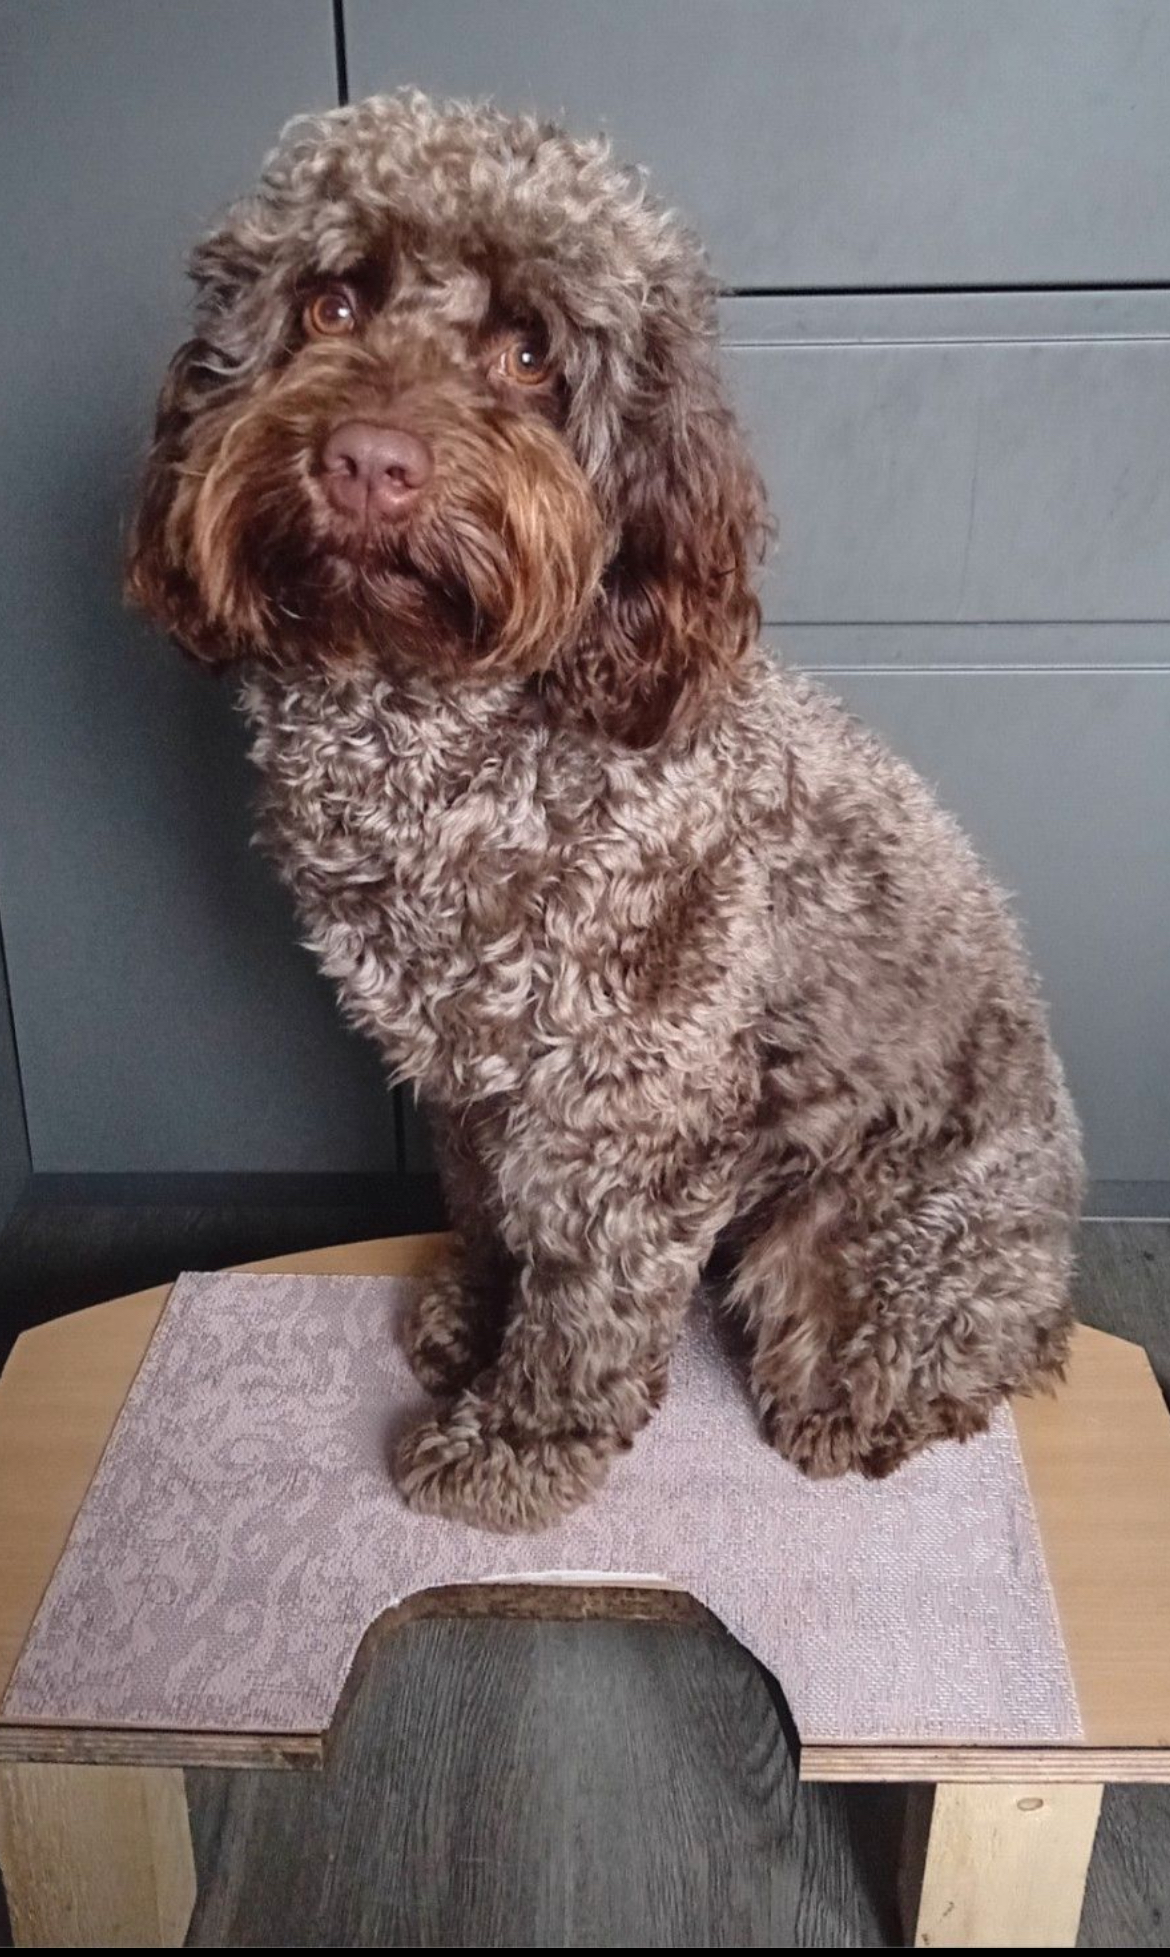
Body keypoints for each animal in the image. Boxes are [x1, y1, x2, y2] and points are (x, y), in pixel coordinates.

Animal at [123, 88, 1087, 1526]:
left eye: (529, 352)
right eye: (331, 305)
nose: (368, 462)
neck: (436, 737)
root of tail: (1057, 1276)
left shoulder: (631, 1092)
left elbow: (588, 1290)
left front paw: (518, 1443)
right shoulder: (468, 1075)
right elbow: (486, 1207)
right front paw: (476, 1313)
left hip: (870, 1250)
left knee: (926, 1358)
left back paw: (865, 1402)